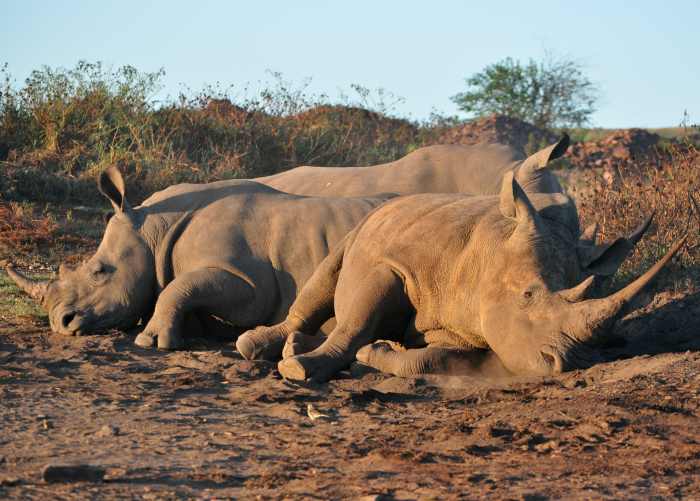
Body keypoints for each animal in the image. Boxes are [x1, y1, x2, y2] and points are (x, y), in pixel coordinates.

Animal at [5, 168, 391, 349]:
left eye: (99, 271)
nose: (61, 323)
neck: (152, 230)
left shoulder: (250, 283)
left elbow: (177, 288)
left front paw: (151, 341)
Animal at [241, 173, 685, 382]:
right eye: (527, 295)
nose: (570, 363)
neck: (493, 256)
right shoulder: (395, 265)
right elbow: (355, 322)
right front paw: (303, 370)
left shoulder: (468, 327)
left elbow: (434, 358)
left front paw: (374, 355)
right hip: (357, 230)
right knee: (326, 279)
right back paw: (262, 347)